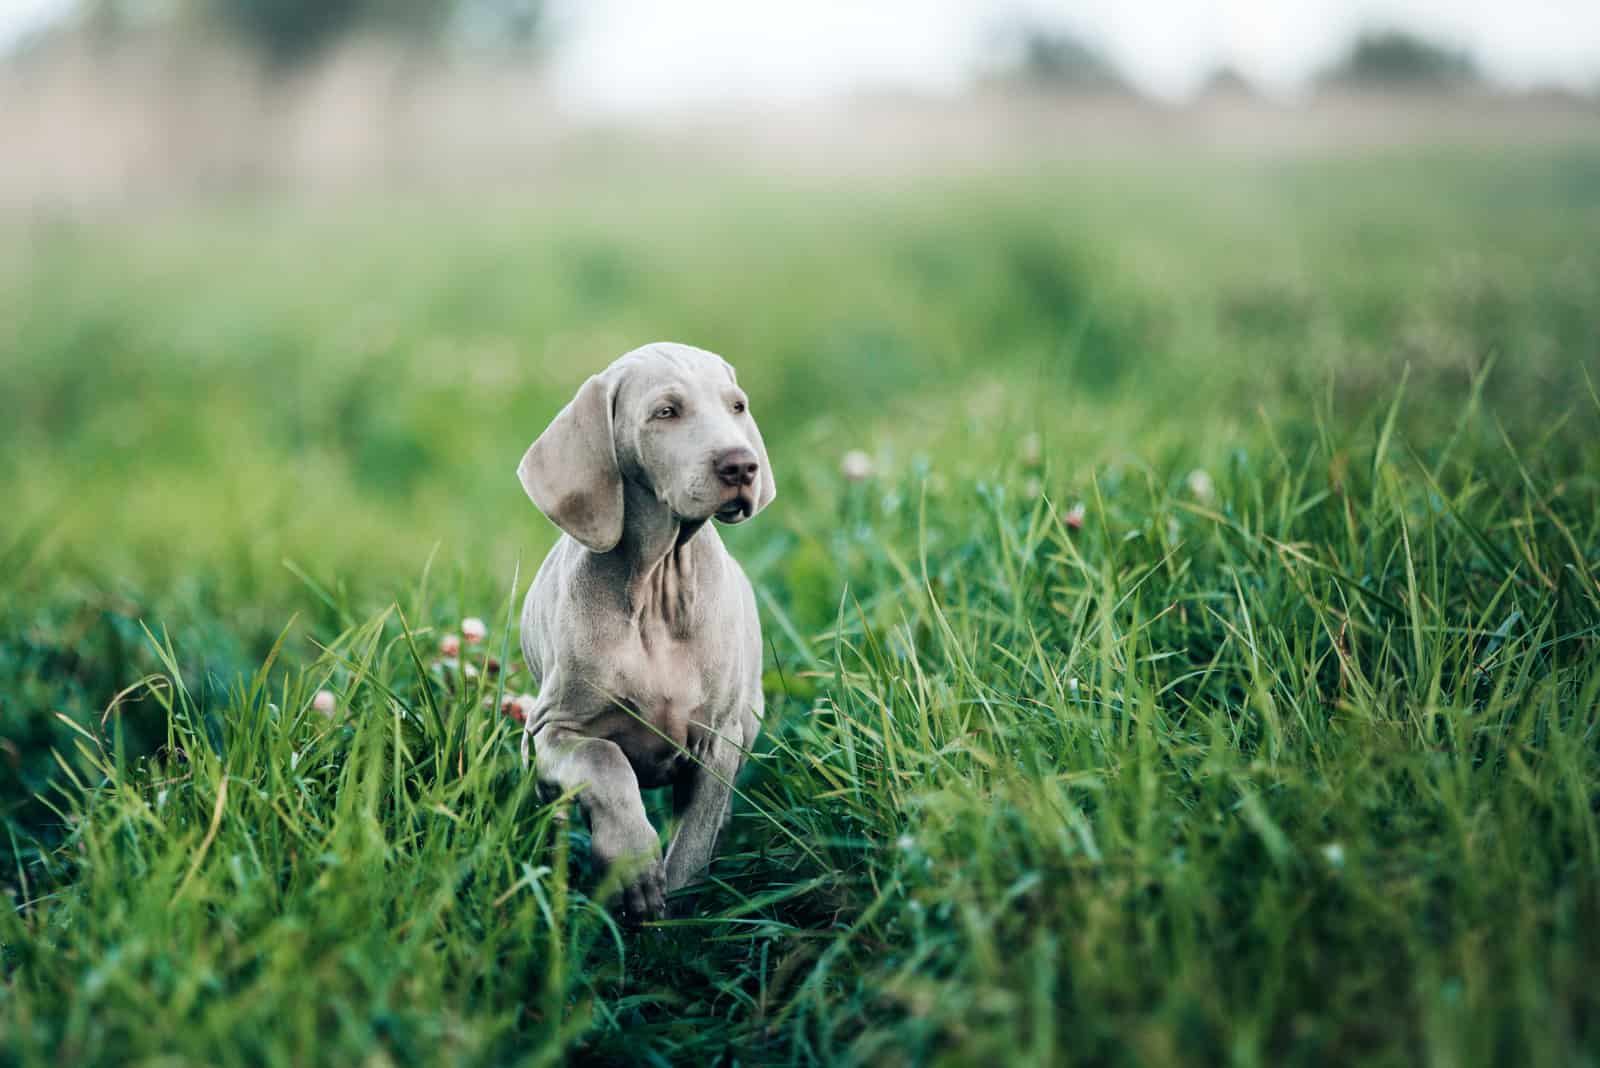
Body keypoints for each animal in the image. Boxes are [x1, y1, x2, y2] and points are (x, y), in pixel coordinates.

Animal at [515, 342, 771, 920]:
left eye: (737, 406)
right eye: (665, 412)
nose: (741, 464)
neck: (656, 588)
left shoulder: (718, 738)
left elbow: (695, 838)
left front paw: (677, 917)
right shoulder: (550, 730)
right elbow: (605, 760)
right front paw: (632, 868)